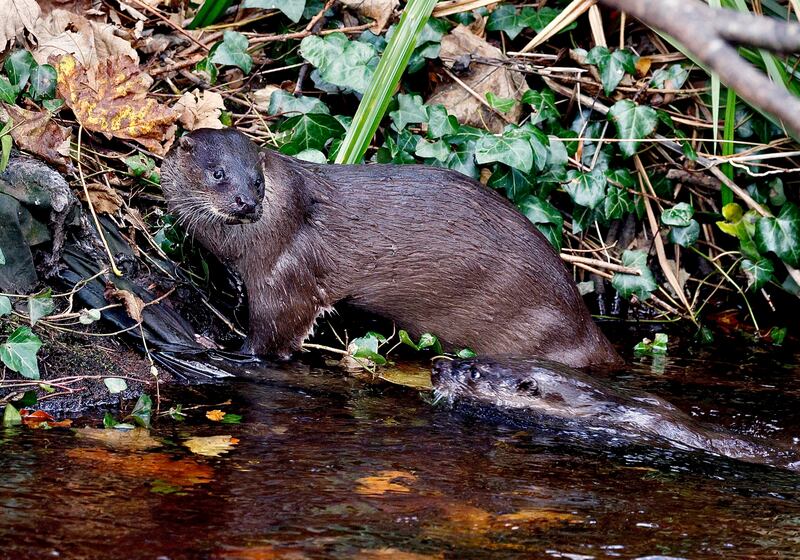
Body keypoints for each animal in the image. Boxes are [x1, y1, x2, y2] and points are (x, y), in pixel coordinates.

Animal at [161, 128, 621, 368]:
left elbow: (274, 335)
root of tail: (588, 327)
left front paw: (225, 352)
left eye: (256, 180)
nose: (246, 202)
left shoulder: (286, 273)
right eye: (218, 173)